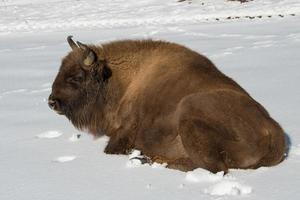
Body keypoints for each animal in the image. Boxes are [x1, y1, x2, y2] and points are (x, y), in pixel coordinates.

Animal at [48, 36, 286, 173]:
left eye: (77, 77)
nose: (51, 102)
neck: (122, 78)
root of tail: (274, 132)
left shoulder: (126, 130)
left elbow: (112, 149)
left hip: (189, 109)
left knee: (214, 168)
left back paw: (148, 159)